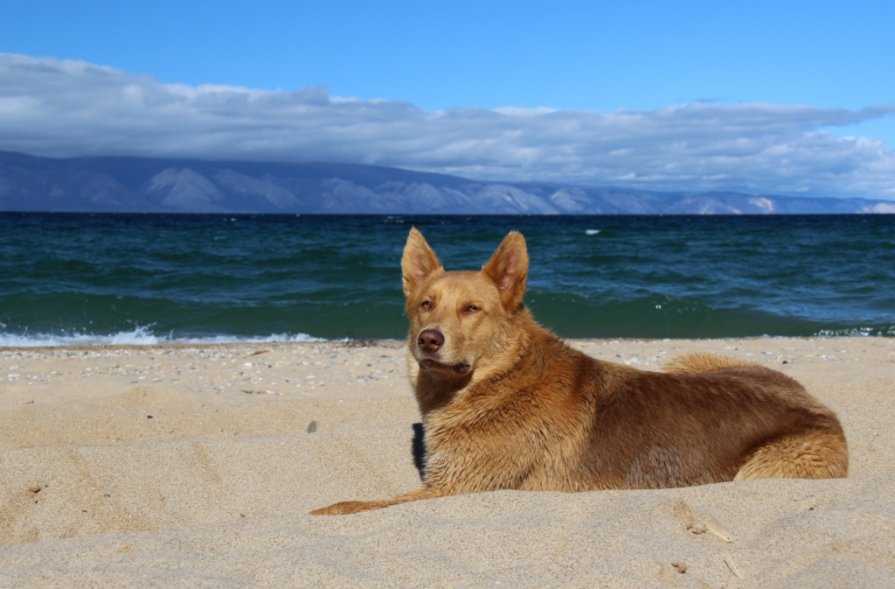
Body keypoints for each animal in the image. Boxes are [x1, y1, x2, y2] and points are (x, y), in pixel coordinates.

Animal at [312, 227, 852, 512]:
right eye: (426, 304)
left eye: (472, 310)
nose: (429, 339)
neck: (498, 380)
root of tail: (824, 406)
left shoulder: (456, 488)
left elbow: (354, 505)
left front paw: (322, 510)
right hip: (689, 359)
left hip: (762, 470)